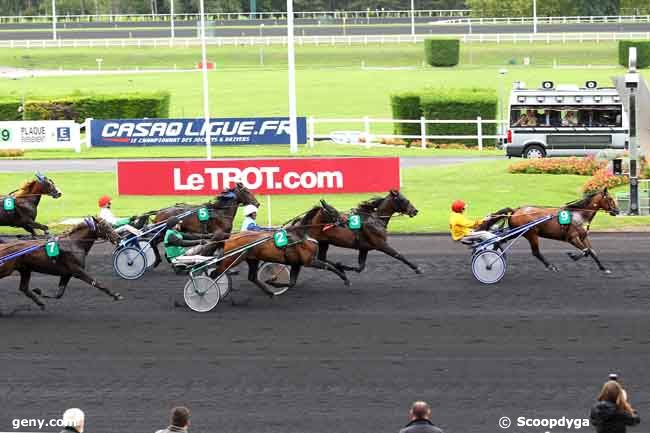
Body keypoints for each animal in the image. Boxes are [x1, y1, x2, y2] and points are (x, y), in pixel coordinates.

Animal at [208, 204, 350, 296]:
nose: (345, 220)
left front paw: (273, 283)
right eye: (332, 211)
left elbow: (292, 282)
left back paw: (269, 292)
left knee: (252, 277)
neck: (302, 234)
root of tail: (229, 238)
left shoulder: (296, 263)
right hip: (231, 259)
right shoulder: (309, 261)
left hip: (252, 259)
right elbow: (329, 266)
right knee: (214, 274)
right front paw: (346, 279)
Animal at [478, 188, 620, 274]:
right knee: (536, 252)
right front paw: (573, 255)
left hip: (517, 232)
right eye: (610, 199)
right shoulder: (572, 238)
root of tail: (516, 211)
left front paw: (603, 268)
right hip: (531, 234)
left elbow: (592, 252)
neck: (579, 215)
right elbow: (585, 251)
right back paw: (551, 266)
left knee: (498, 242)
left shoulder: (584, 237)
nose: (617, 211)